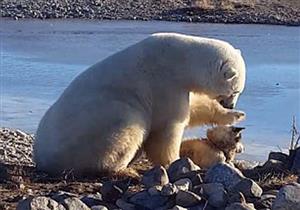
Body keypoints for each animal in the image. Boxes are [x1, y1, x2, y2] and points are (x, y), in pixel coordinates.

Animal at [34, 32, 246, 176]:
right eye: (234, 91)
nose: (231, 105)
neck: (181, 58)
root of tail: (41, 158)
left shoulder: (179, 85)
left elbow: (195, 107)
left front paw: (236, 115)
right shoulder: (164, 82)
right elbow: (168, 126)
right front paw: (176, 161)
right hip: (96, 125)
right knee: (128, 126)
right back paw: (122, 169)